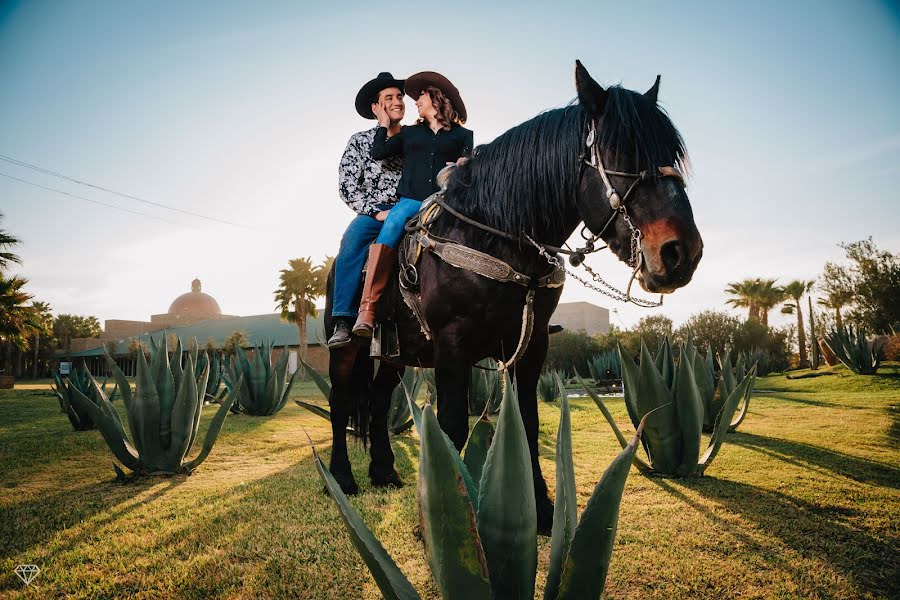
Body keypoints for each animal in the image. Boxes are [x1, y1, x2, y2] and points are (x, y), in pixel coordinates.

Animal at [324, 59, 704, 528]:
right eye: (621, 150)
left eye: (671, 154)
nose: (681, 252)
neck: (493, 234)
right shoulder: (452, 345)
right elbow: (451, 426)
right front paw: (454, 518)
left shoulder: (532, 346)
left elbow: (527, 423)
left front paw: (541, 509)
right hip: (348, 349)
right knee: (341, 403)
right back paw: (342, 477)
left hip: (396, 354)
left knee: (377, 403)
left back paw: (384, 471)